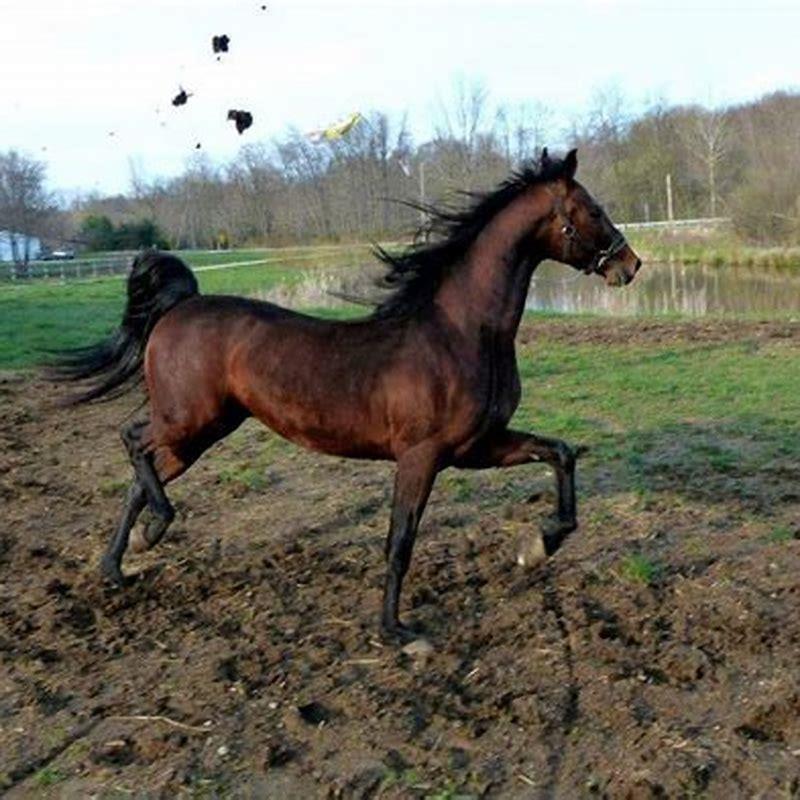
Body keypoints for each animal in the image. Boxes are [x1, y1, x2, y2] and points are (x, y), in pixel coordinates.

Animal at [49, 148, 641, 643]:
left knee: (140, 473)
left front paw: (540, 545)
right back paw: (154, 527)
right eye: (592, 208)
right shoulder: (421, 456)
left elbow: (559, 453)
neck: (460, 333)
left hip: (202, 432)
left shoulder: (476, 447)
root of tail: (180, 306)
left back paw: (122, 560)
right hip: (189, 420)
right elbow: (400, 541)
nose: (630, 264)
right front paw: (396, 632)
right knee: (133, 441)